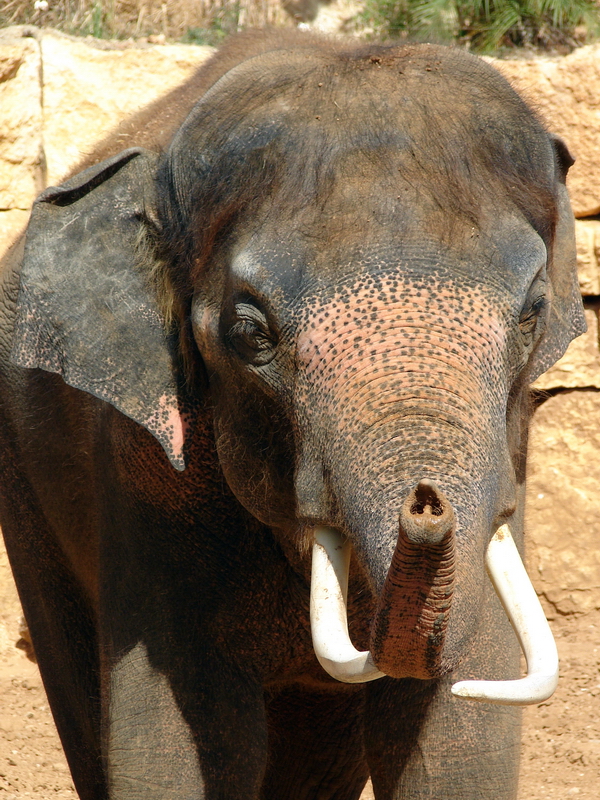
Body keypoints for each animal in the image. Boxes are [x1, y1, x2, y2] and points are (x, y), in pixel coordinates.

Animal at [0, 29, 585, 800]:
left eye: (531, 315)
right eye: (251, 333)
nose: (427, 502)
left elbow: (457, 735)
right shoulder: (140, 468)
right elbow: (181, 741)